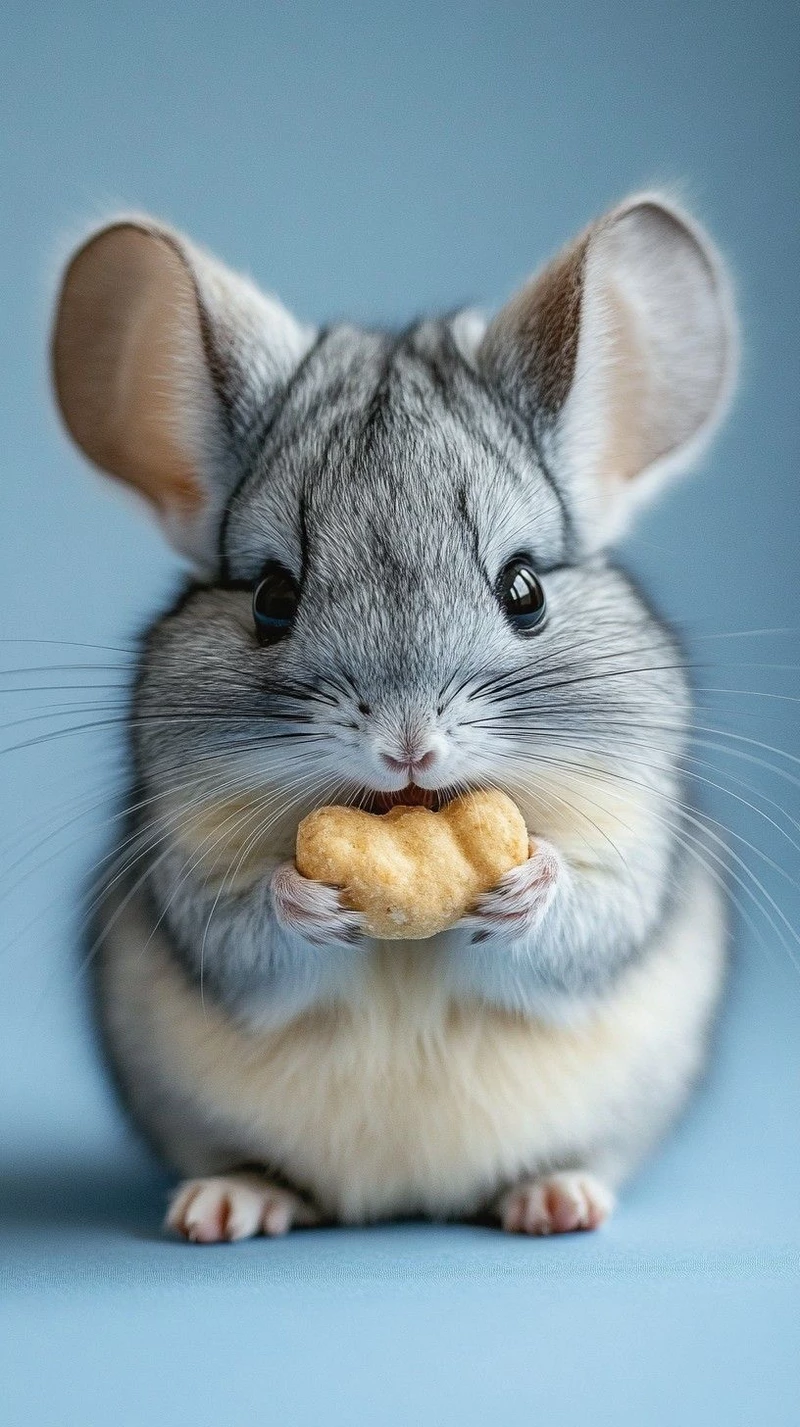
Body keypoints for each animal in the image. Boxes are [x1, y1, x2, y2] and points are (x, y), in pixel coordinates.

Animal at [51, 193, 736, 1239]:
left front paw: (526, 884)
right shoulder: (189, 886)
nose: (407, 746)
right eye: (272, 598)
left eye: (525, 589)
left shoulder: (632, 863)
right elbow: (250, 931)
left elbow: (580, 917)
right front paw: (305, 899)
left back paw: (556, 1196)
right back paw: (229, 1201)